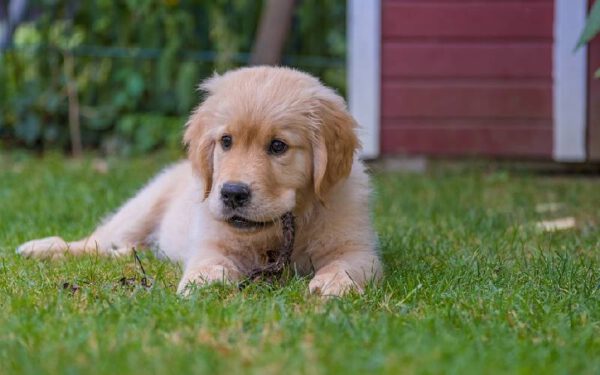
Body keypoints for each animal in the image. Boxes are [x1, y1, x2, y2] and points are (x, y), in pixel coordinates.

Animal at [18, 66, 384, 298]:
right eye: (226, 141)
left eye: (278, 146)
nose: (233, 193)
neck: (277, 231)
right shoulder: (212, 242)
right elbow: (209, 263)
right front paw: (204, 283)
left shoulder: (358, 248)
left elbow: (346, 264)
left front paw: (334, 284)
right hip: (140, 210)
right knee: (95, 243)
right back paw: (43, 249)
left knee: (124, 252)